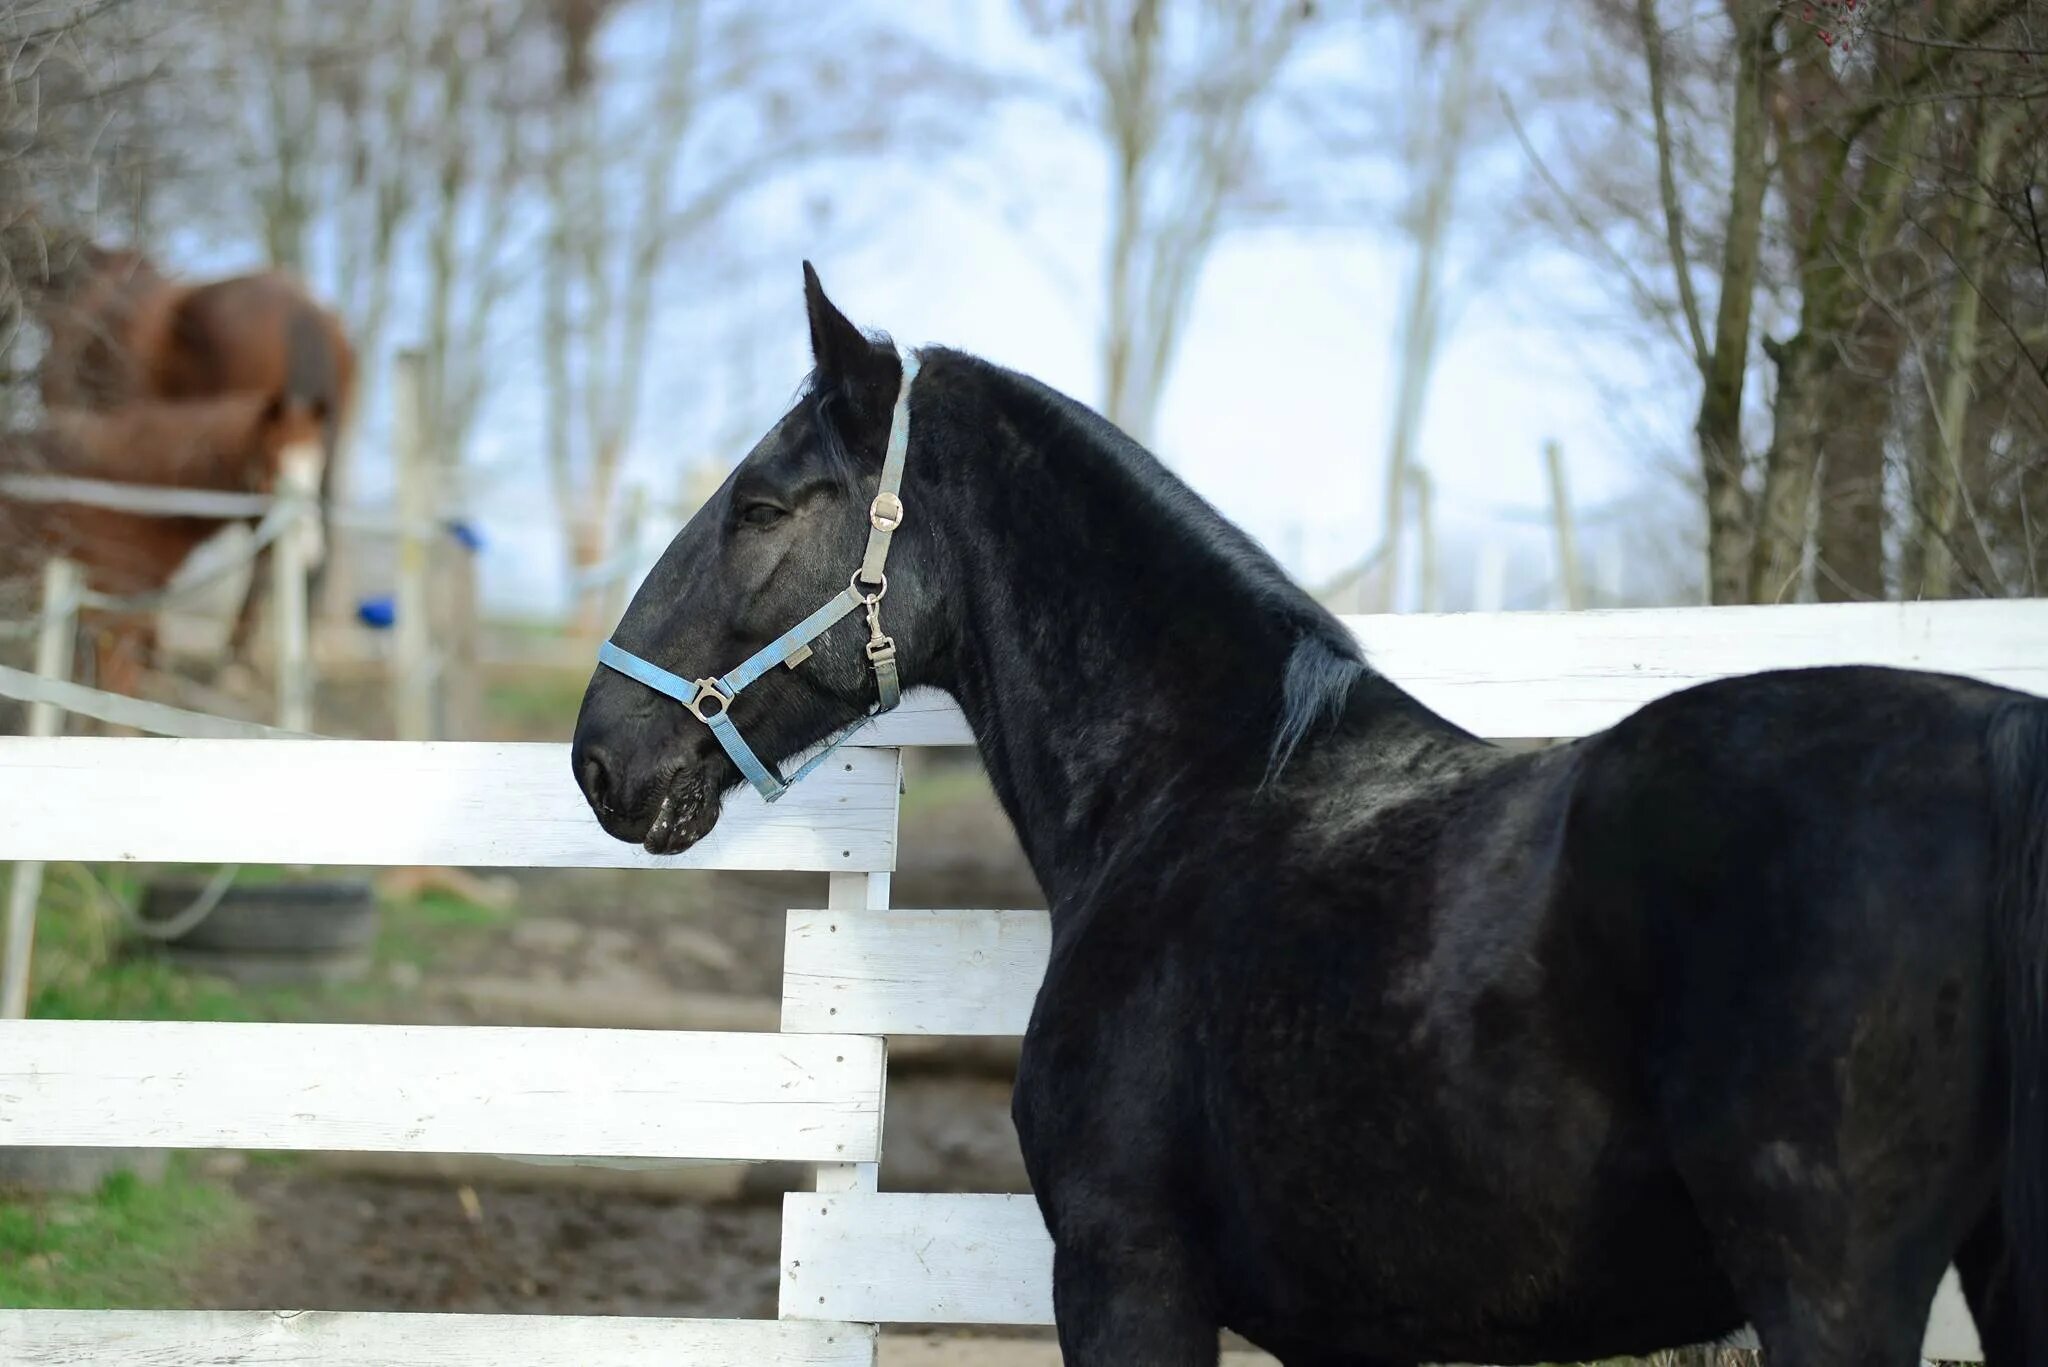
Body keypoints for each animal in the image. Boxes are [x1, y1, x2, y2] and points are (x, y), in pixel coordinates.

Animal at [577, 270, 2048, 1367]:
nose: (600, 753)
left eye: (762, 504)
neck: (1192, 791)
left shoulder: (1126, 1276)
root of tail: (1996, 746)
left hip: (1829, 1285)